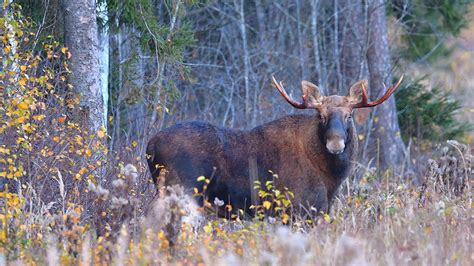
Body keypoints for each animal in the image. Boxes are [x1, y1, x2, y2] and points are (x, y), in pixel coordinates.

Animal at [147, 74, 404, 214]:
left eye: (349, 116)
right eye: (321, 116)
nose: (335, 143)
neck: (331, 179)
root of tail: (150, 146)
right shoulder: (299, 208)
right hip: (182, 191)